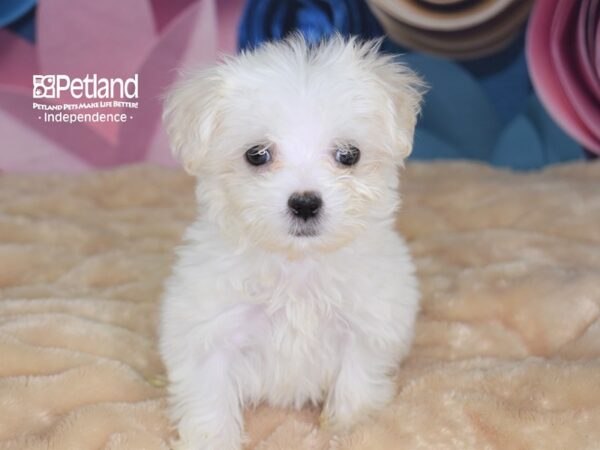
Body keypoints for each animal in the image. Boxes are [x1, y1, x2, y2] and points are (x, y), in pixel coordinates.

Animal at [158, 36, 422, 450]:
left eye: (349, 155)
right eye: (257, 155)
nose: (305, 203)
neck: (298, 264)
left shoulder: (369, 325)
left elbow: (357, 382)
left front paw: (351, 428)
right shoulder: (209, 330)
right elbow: (209, 399)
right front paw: (210, 439)